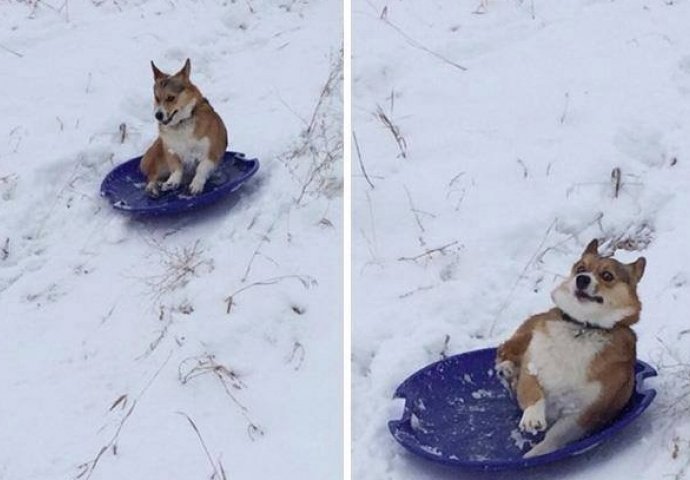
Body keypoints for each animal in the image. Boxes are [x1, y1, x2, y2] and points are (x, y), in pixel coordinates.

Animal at [138, 57, 227, 195]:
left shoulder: (211, 152)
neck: (181, 122)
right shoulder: (171, 150)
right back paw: (153, 186)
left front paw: (196, 183)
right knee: (152, 175)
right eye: (157, 98)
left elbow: (202, 167)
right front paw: (172, 181)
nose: (158, 115)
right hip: (159, 156)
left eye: (170, 98)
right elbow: (176, 168)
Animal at [494, 240, 644, 458]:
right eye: (580, 268)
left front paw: (536, 454)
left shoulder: (585, 412)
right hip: (525, 336)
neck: (583, 327)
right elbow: (532, 391)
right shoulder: (532, 368)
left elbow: (555, 436)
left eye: (607, 275)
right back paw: (506, 369)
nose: (581, 279)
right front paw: (532, 418)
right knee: (504, 349)